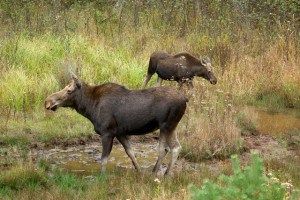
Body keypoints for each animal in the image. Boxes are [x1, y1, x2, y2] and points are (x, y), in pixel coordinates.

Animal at [44, 75, 188, 175]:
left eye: (69, 90)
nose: (47, 101)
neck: (90, 108)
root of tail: (185, 99)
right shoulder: (120, 133)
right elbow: (131, 153)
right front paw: (140, 172)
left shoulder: (107, 132)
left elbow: (103, 159)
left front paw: (101, 178)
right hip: (168, 127)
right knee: (169, 148)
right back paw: (155, 172)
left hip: (167, 125)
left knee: (171, 148)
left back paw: (165, 173)